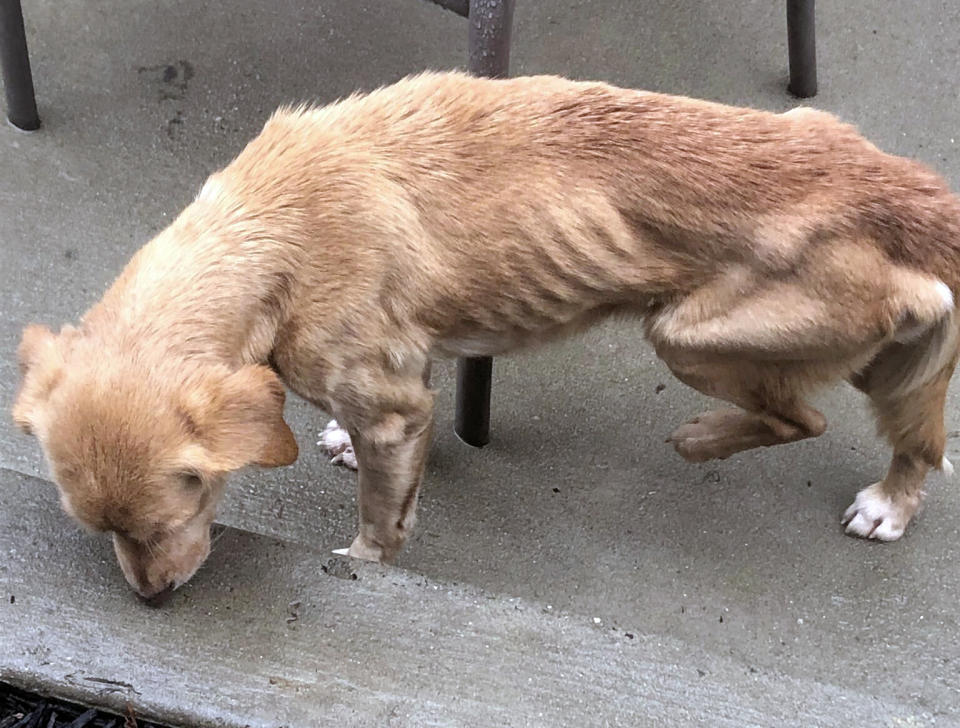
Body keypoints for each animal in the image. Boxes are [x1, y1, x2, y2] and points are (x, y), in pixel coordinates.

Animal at [13, 71, 960, 600]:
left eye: (182, 506)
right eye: (97, 529)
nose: (151, 603)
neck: (265, 229)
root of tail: (900, 189)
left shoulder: (389, 405)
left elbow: (379, 528)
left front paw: (361, 562)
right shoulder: (406, 373)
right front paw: (344, 443)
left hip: (689, 332)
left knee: (809, 415)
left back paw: (725, 446)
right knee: (911, 429)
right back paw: (889, 495)